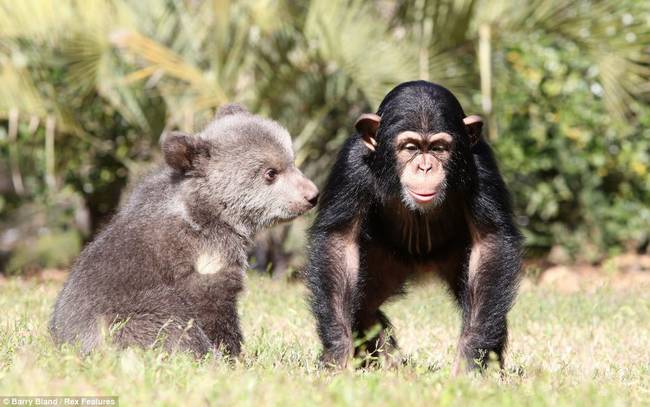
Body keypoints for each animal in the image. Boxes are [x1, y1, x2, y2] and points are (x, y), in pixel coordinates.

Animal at [306, 81, 520, 374]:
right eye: (410, 147)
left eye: (439, 148)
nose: (425, 166)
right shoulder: (352, 165)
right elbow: (339, 241)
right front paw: (337, 354)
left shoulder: (482, 164)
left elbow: (490, 241)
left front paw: (469, 360)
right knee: (364, 305)